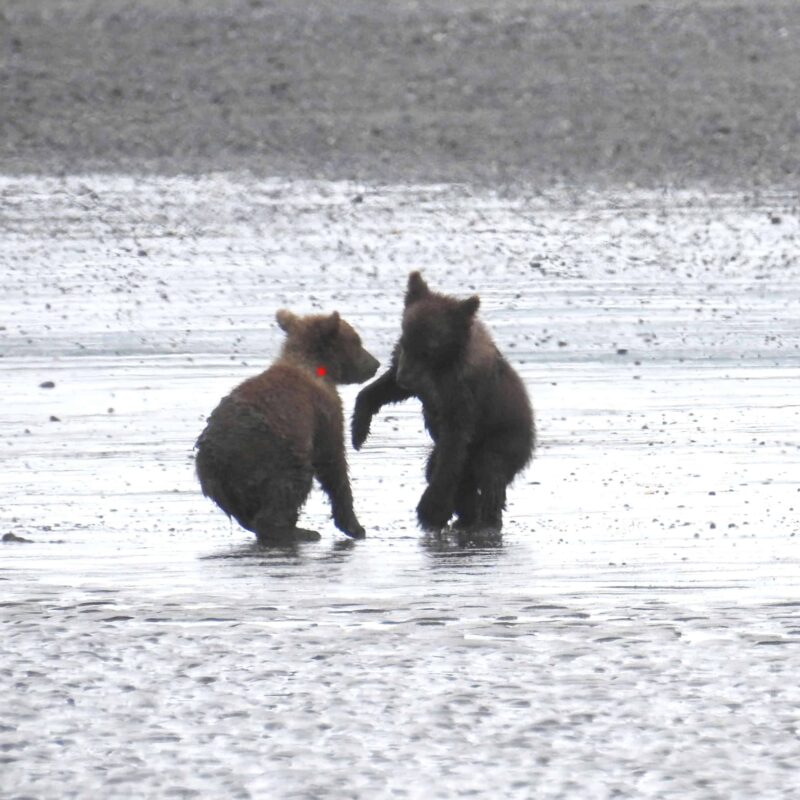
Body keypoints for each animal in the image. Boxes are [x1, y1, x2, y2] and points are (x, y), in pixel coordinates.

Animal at [195, 310, 379, 545]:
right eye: (356, 341)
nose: (375, 364)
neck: (313, 367)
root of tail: (216, 456)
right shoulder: (323, 411)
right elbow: (332, 461)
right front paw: (355, 526)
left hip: (221, 483)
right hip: (273, 454)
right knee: (292, 483)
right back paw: (299, 532)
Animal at [352, 271, 534, 533]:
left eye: (429, 348)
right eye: (406, 338)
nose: (405, 378)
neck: (440, 366)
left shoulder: (460, 394)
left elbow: (453, 446)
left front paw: (431, 510)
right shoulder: (414, 376)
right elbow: (382, 389)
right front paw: (358, 431)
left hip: (503, 440)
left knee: (489, 471)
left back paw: (486, 519)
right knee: (450, 474)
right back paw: (466, 515)